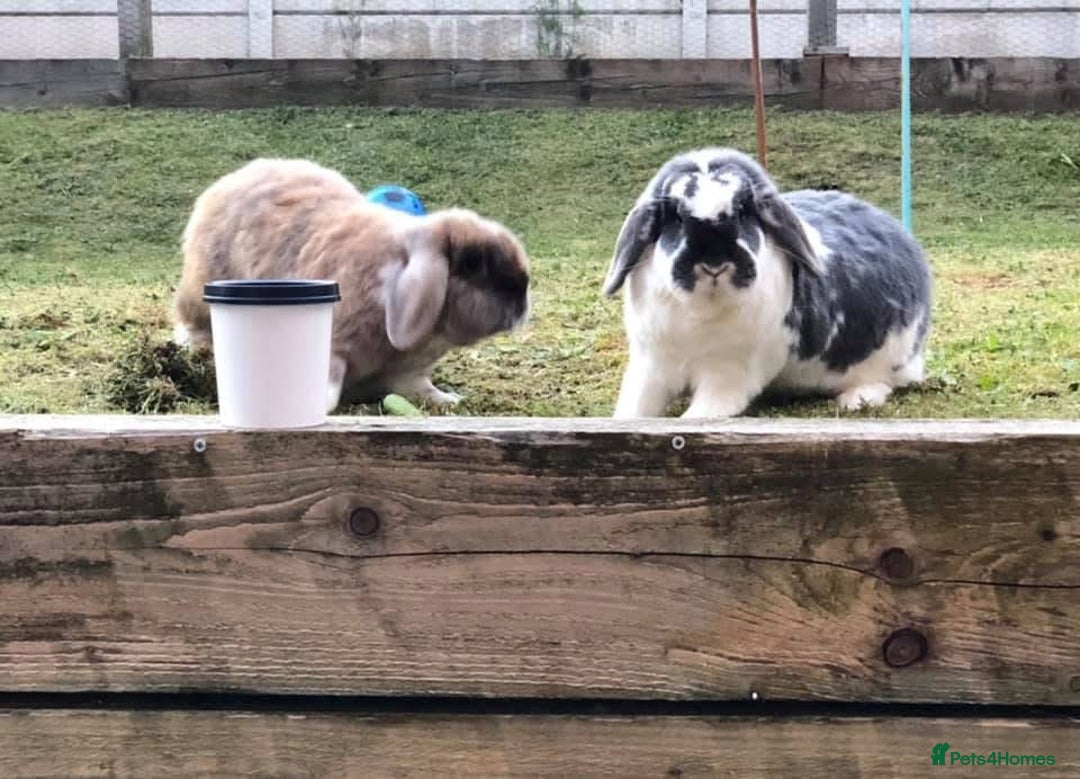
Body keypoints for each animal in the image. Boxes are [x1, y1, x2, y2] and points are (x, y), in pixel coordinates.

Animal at [172, 158, 531, 411]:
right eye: (473, 263)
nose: (524, 297)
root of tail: (230, 180)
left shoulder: (410, 372)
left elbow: (419, 389)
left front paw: (449, 400)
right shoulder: (334, 347)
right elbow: (328, 387)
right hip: (198, 296)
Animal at [601, 147, 932, 419]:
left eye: (742, 212)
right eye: (677, 218)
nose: (714, 264)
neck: (701, 308)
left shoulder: (727, 376)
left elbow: (699, 415)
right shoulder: (651, 366)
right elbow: (633, 410)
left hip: (890, 358)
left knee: (886, 381)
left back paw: (857, 399)